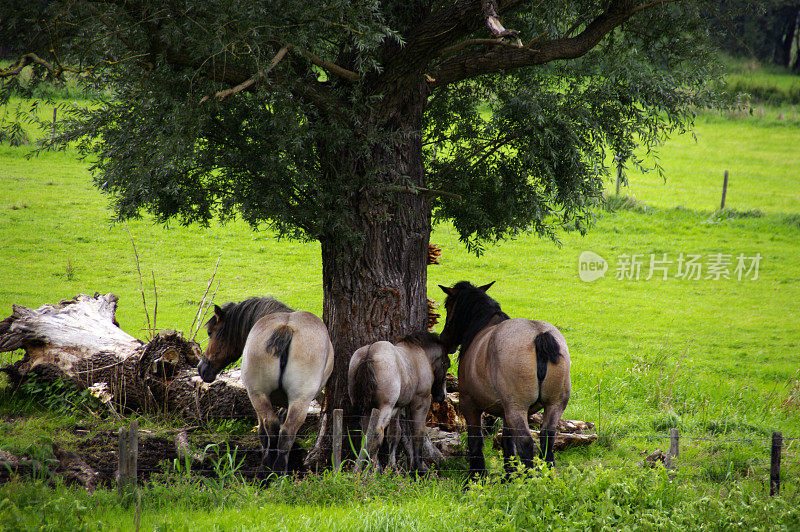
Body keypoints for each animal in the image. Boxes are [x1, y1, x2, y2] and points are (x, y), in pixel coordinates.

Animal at [198, 298, 332, 476]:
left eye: (210, 333)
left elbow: (263, 431)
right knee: (284, 431)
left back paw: (270, 468)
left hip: (259, 395)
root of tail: (285, 328)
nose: (201, 368)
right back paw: (277, 470)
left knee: (272, 427)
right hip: (296, 400)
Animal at [348, 330, 454, 472]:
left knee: (367, 434)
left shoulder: (397, 407)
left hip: (365, 408)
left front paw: (392, 467)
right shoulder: (421, 401)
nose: (442, 395)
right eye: (447, 363)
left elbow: (395, 434)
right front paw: (417, 467)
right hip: (384, 407)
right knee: (377, 432)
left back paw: (362, 467)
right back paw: (373, 469)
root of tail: (369, 354)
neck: (420, 353)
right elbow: (418, 432)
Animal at [438, 280, 568, 476]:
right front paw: (510, 474)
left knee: (526, 442)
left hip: (517, 407)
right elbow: (507, 441)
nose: (444, 340)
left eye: (448, 306)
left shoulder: (469, 404)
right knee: (547, 438)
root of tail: (539, 336)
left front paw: (477, 475)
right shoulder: (506, 412)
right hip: (554, 405)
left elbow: (475, 440)